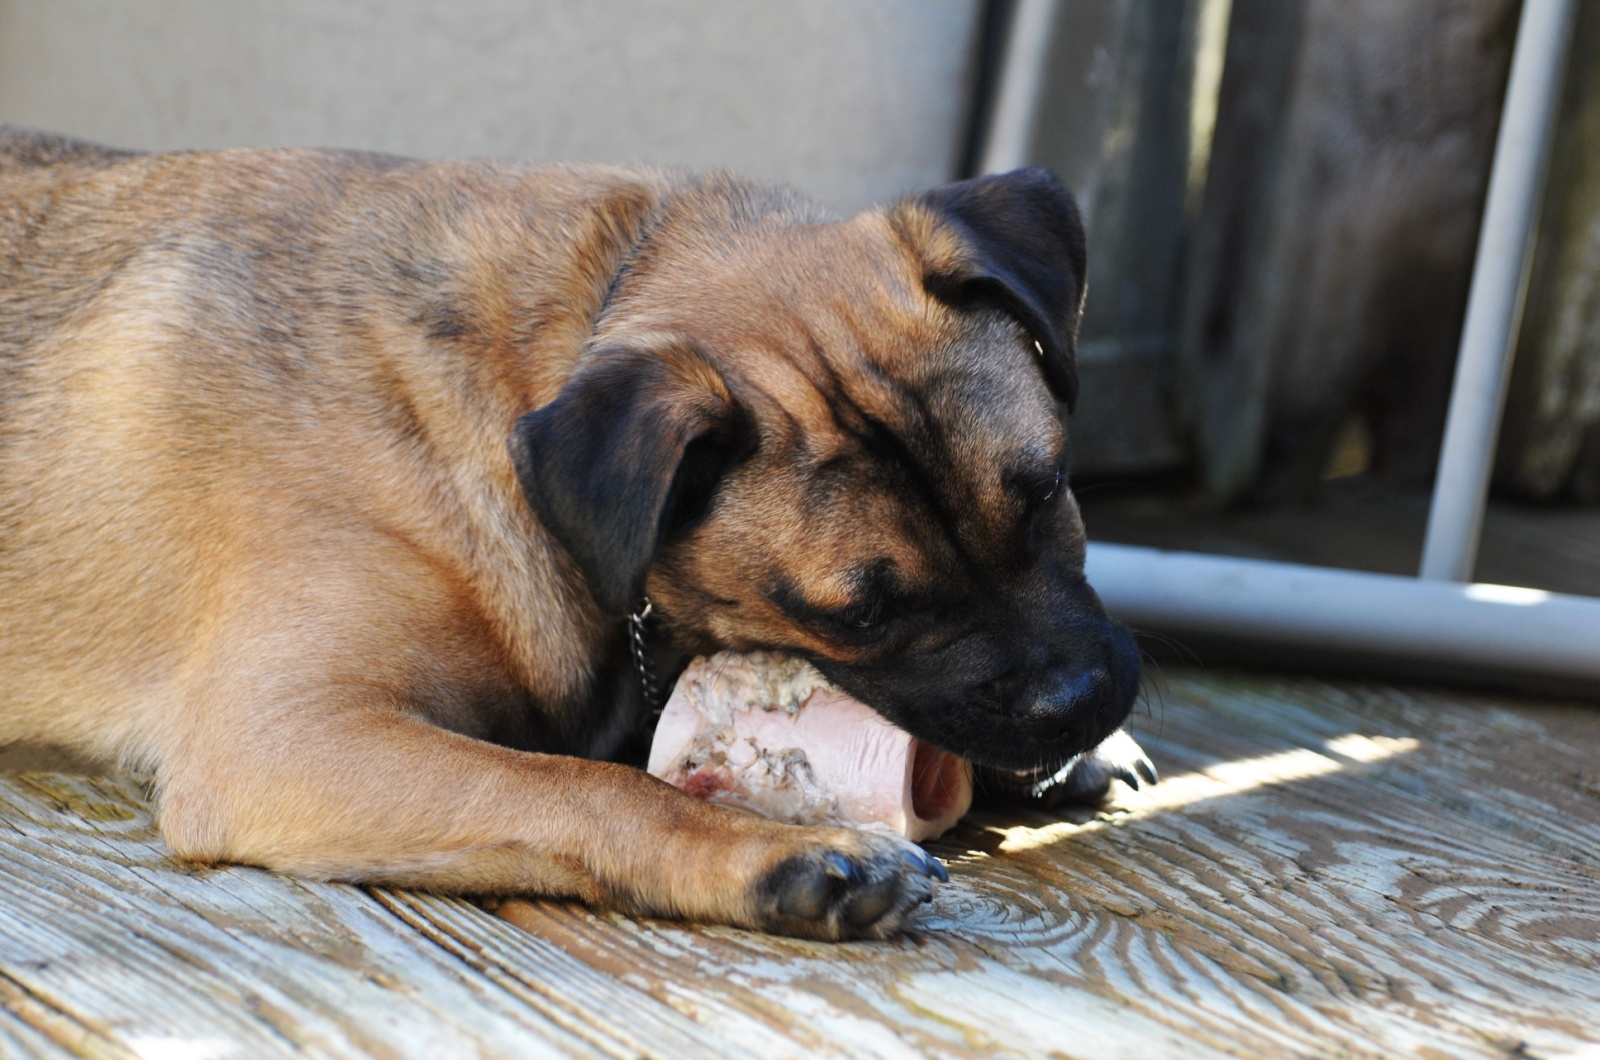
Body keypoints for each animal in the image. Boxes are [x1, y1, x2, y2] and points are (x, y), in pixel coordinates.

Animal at [0, 128, 1152, 941]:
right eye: (861, 614)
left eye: (1049, 490)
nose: (1076, 699)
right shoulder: (286, 735)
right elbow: (583, 786)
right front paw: (778, 857)